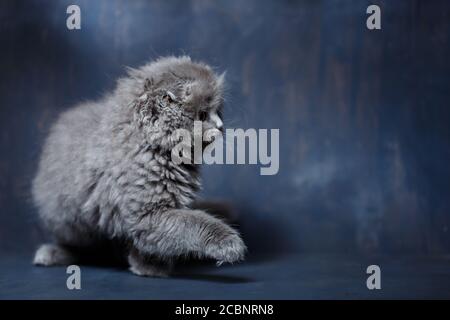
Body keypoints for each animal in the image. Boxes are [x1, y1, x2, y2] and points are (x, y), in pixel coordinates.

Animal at [31, 56, 246, 276]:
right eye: (202, 115)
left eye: (218, 112)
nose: (221, 126)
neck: (153, 149)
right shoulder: (148, 213)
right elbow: (191, 223)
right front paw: (229, 244)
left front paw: (147, 266)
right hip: (68, 220)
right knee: (78, 243)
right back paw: (52, 253)